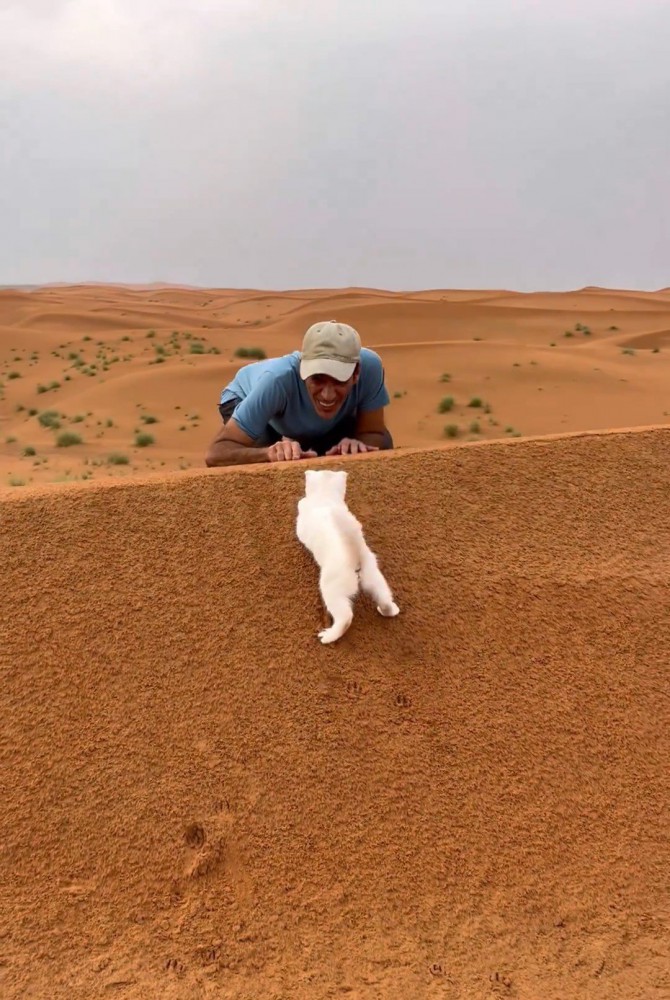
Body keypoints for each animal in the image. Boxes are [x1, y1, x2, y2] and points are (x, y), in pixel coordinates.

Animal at [298, 466, 402, 644]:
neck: (325, 497)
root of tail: (356, 556)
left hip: (332, 589)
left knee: (345, 617)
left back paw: (328, 636)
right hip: (375, 578)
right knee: (384, 598)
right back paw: (389, 610)